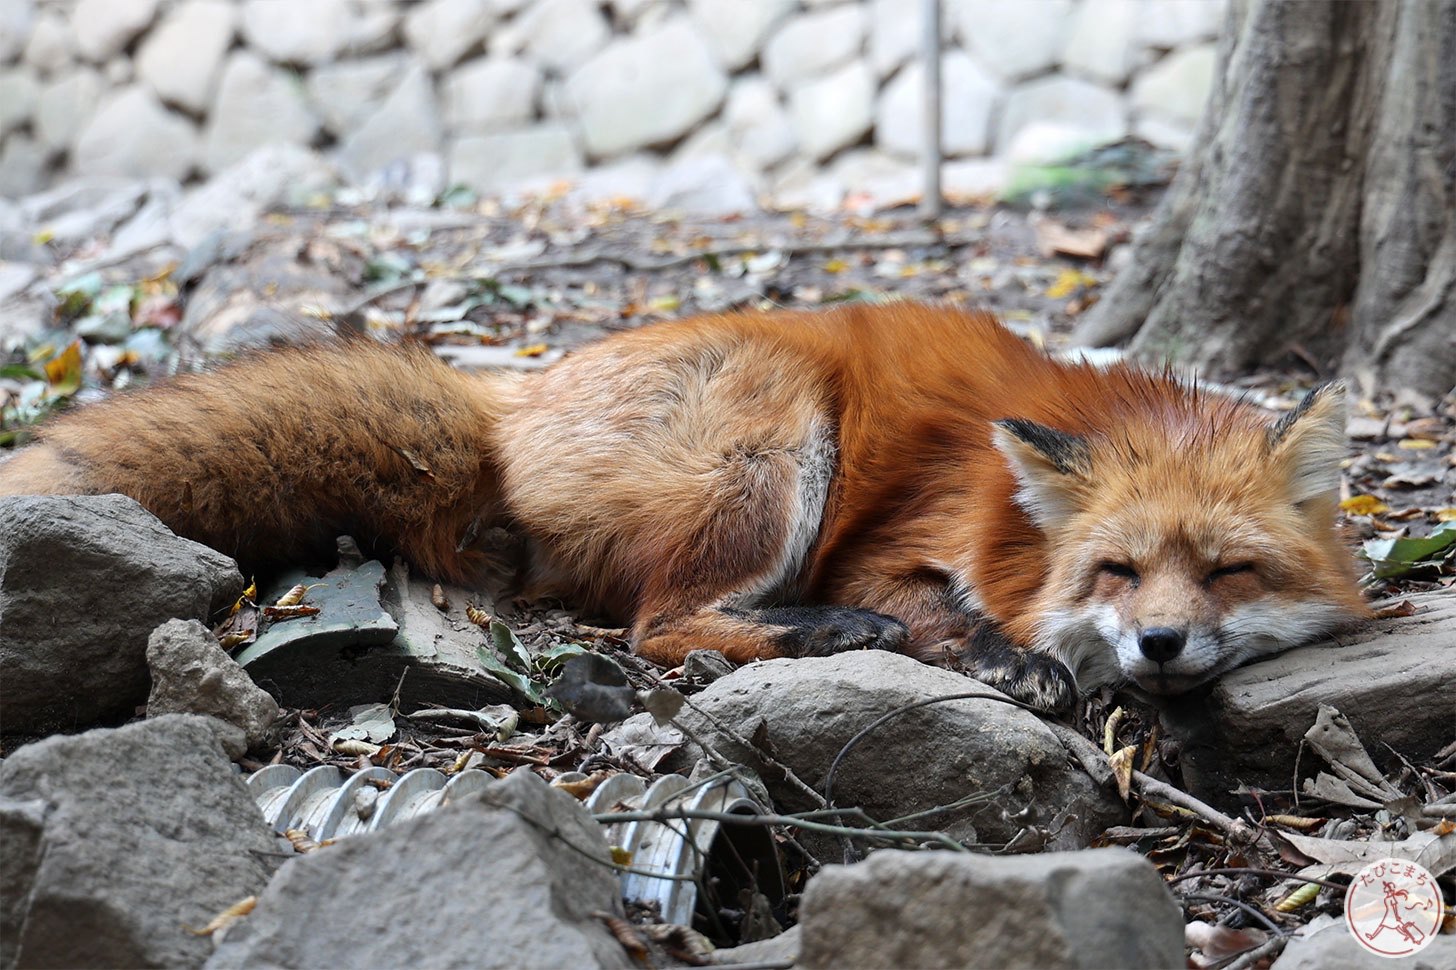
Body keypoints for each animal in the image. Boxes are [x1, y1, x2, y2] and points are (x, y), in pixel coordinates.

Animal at [0, 304, 1362, 710]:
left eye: (1228, 573)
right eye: (1118, 573)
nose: (1161, 644)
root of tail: (507, 402)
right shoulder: (892, 540)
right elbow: (948, 611)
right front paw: (1008, 656)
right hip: (779, 441)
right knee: (658, 626)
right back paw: (822, 633)